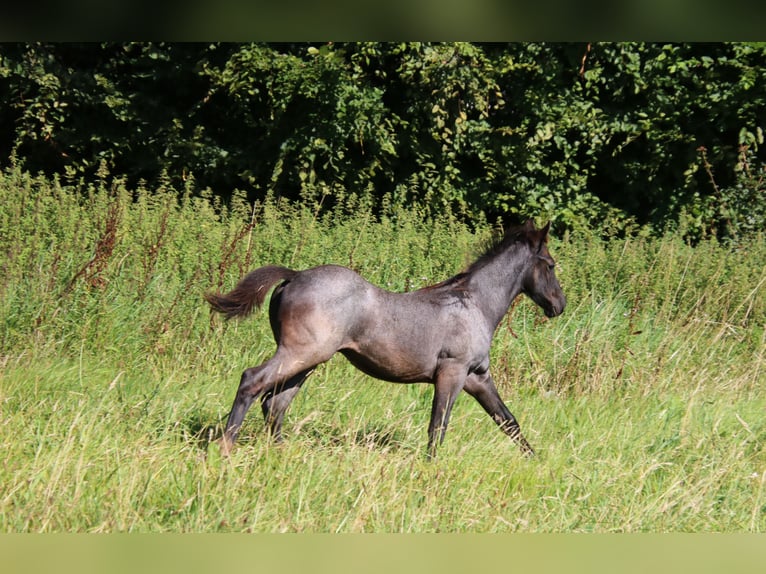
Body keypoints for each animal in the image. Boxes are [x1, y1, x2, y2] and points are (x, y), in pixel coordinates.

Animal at [207, 219, 568, 460]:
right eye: (551, 265)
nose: (559, 305)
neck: (475, 303)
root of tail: (294, 276)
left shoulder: (477, 376)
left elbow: (508, 420)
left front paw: (536, 462)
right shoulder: (451, 373)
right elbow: (438, 425)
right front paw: (430, 467)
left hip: (307, 360)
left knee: (276, 402)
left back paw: (282, 452)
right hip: (302, 353)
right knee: (253, 381)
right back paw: (225, 447)